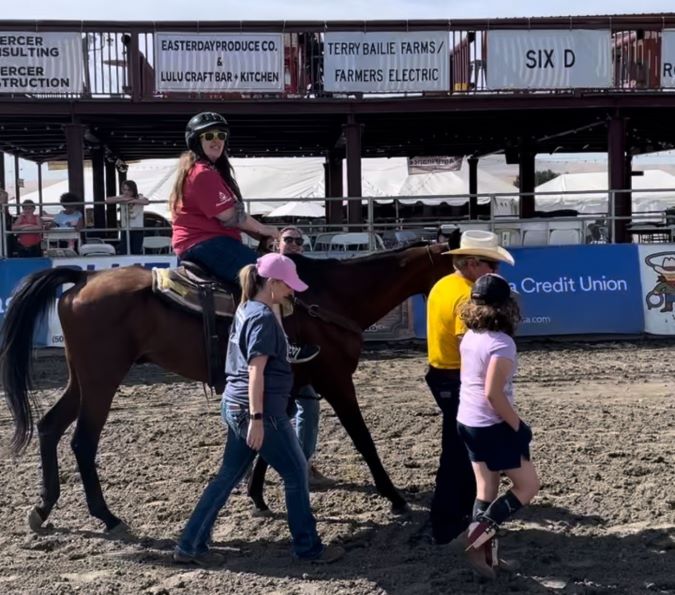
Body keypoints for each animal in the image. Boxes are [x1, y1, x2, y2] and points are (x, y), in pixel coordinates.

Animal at [0, 236, 460, 536]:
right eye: (459, 266)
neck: (331, 298)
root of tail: (81, 280)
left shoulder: (287, 383)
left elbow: (267, 442)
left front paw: (256, 497)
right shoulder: (335, 379)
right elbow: (363, 439)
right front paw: (394, 496)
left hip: (83, 378)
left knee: (49, 427)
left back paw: (43, 508)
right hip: (102, 378)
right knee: (82, 441)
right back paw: (106, 516)